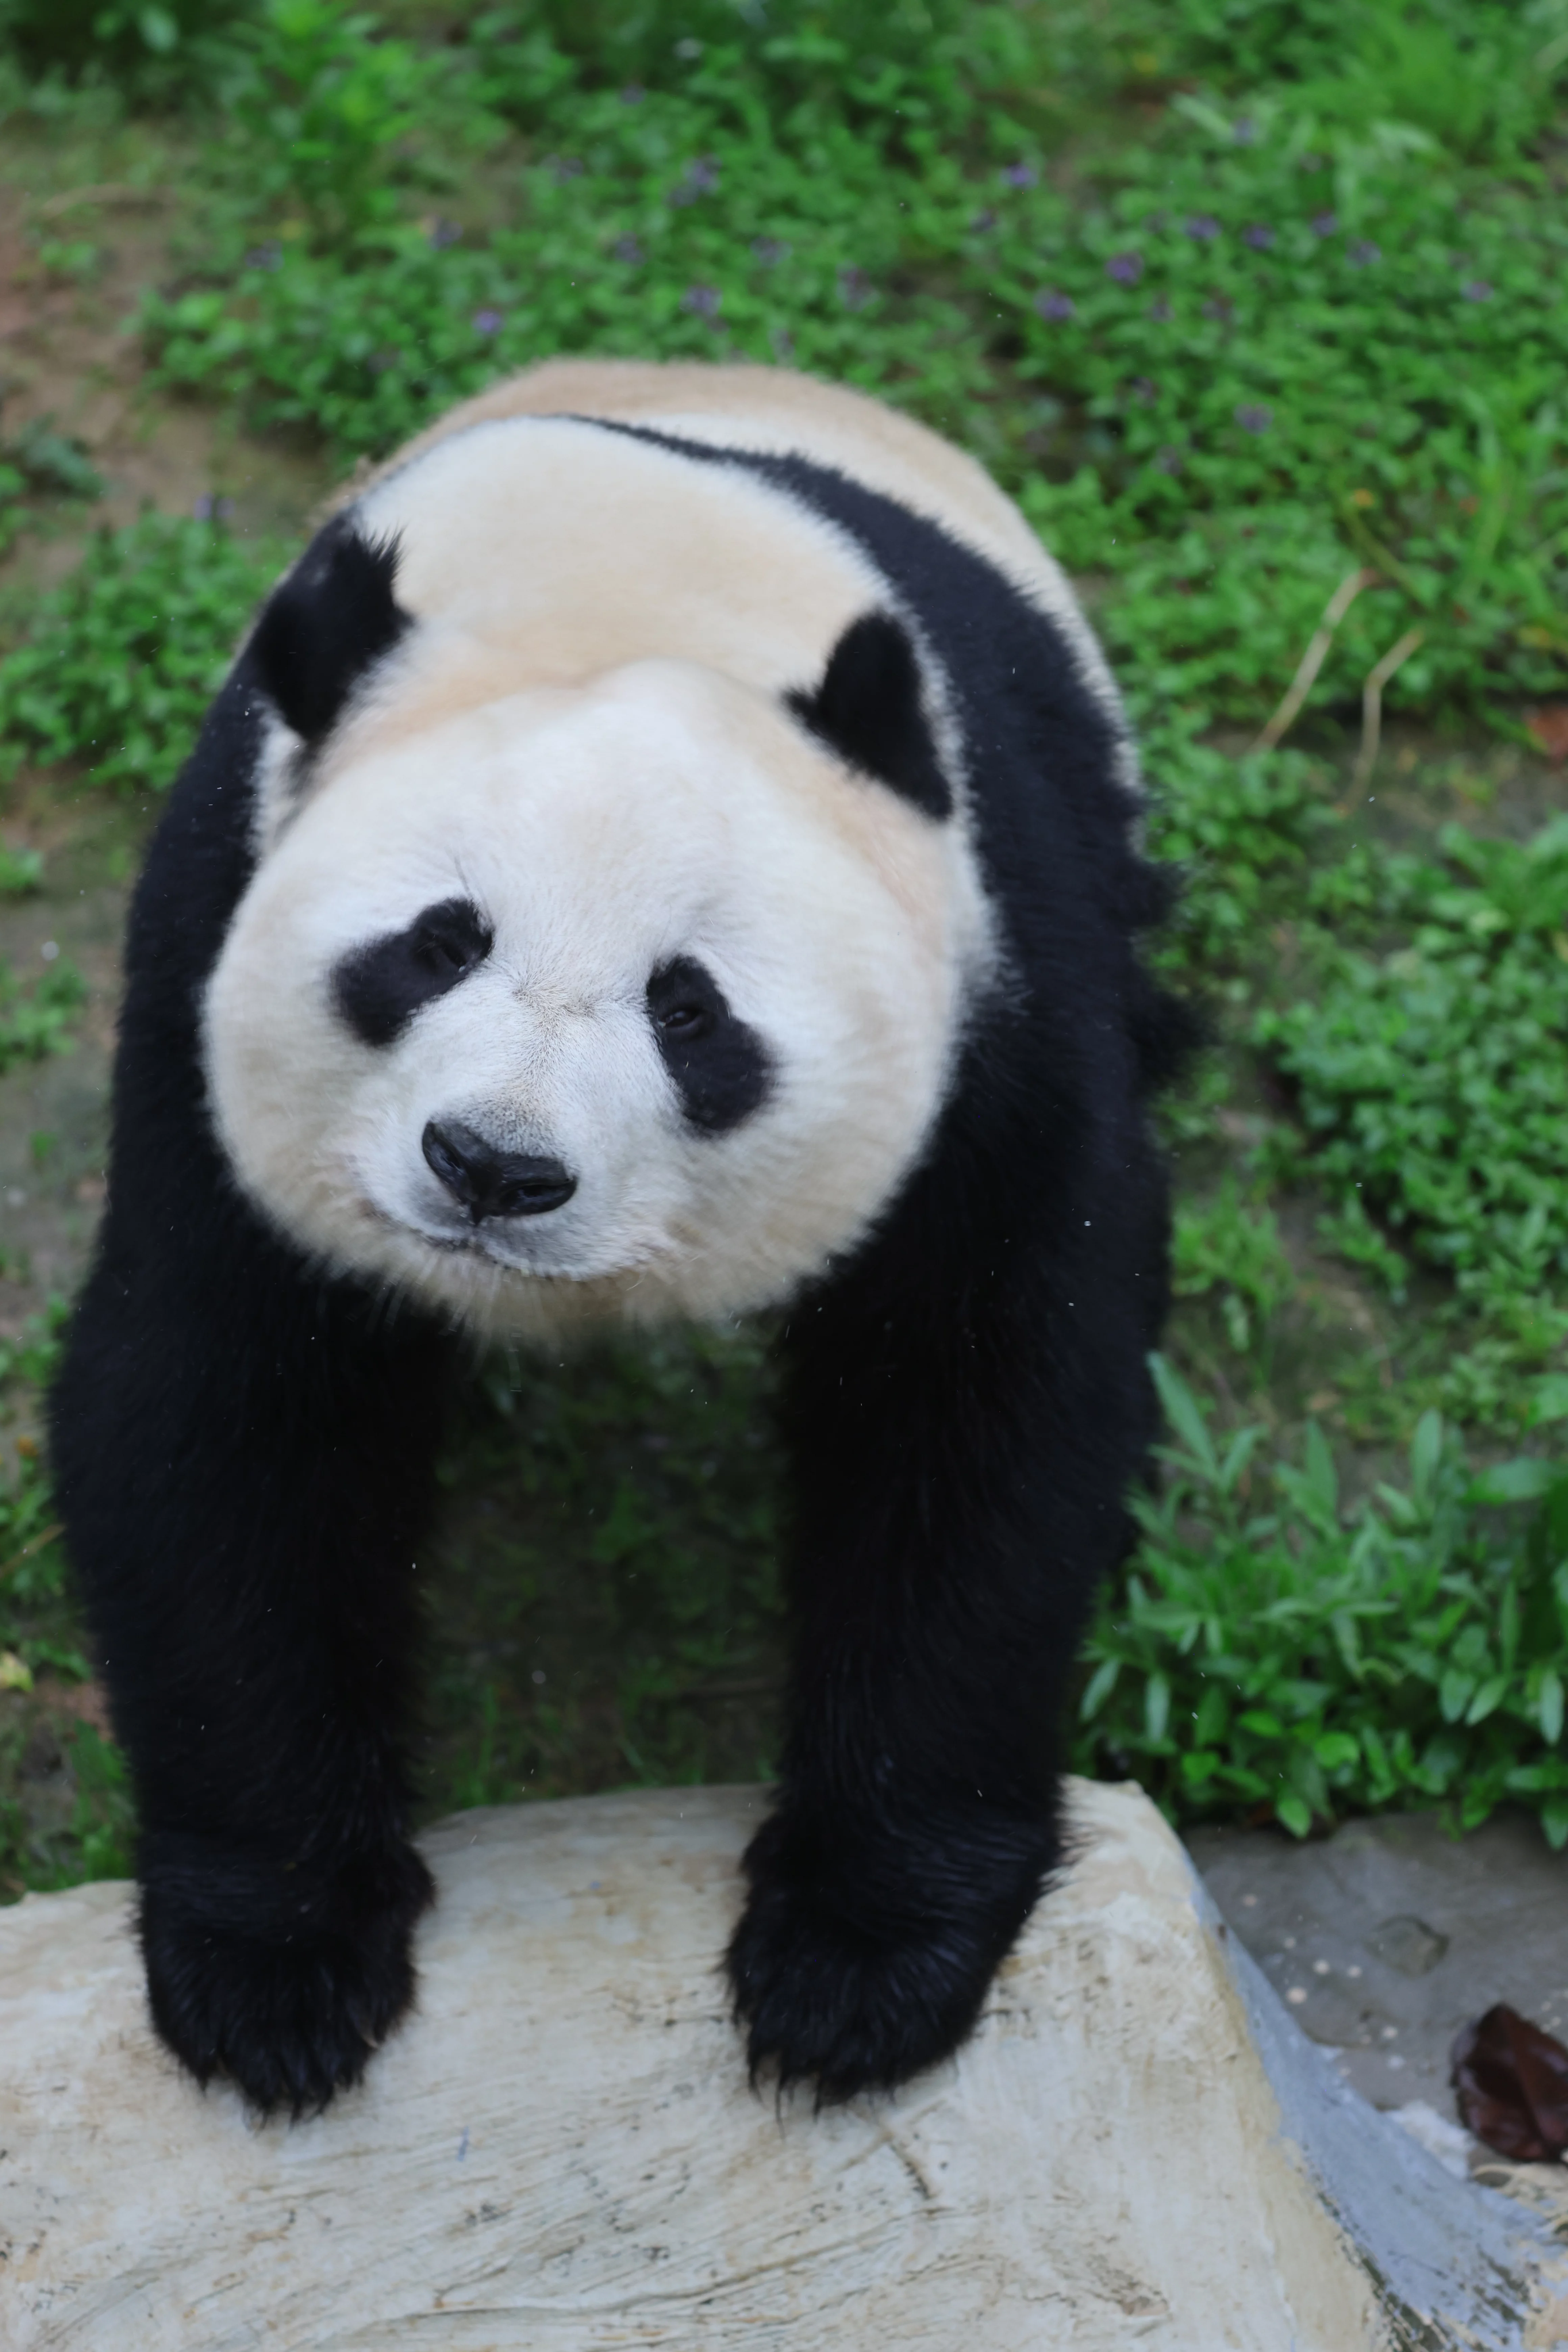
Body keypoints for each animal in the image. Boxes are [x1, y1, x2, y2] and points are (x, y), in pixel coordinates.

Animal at [51, 360, 1189, 2119]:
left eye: (689, 1008)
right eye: (434, 946)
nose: (491, 1168)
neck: (625, 588)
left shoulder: (992, 986)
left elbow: (982, 1414)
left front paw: (856, 1964)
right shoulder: (207, 939)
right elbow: (220, 1414)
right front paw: (277, 1972)